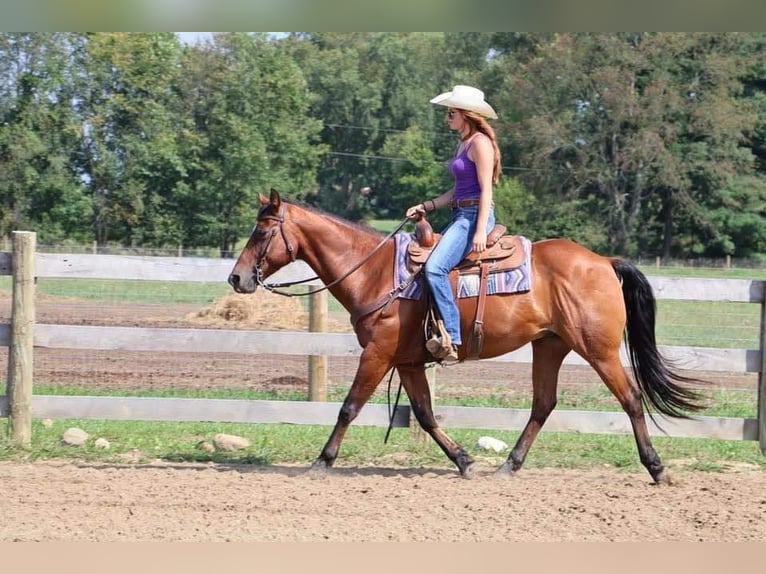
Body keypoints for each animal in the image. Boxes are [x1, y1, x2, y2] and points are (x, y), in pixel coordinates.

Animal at [230, 190, 708, 486]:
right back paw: (509, 466)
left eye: (262, 231)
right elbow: (424, 414)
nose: (236, 278)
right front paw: (464, 460)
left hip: (599, 349)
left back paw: (657, 468)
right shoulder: (406, 361)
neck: (376, 271)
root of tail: (604, 261)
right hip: (549, 345)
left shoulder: (379, 353)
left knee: (630, 398)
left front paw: (321, 461)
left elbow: (349, 407)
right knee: (543, 404)